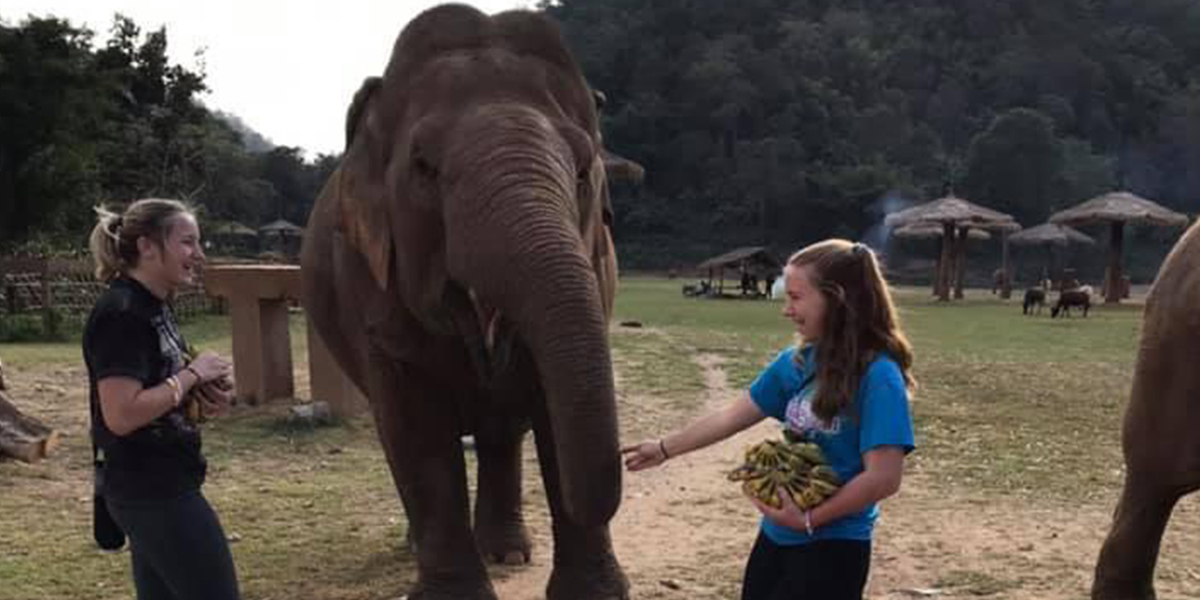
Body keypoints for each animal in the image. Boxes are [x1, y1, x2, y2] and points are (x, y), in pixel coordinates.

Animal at [300, 5, 633, 600]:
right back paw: (425, 547)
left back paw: (507, 552)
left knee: (501, 433)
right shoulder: (368, 282)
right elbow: (416, 431)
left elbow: (554, 411)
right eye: (423, 167)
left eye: (582, 170)